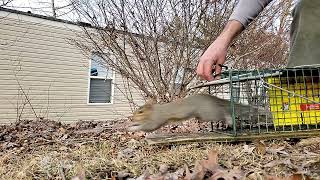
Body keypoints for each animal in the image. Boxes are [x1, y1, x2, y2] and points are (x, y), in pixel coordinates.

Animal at [126, 94, 268, 132]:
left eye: (141, 111)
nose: (131, 117)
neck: (154, 111)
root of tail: (213, 100)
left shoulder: (156, 119)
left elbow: (148, 127)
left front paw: (131, 128)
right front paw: (130, 125)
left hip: (209, 113)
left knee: (223, 113)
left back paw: (229, 120)